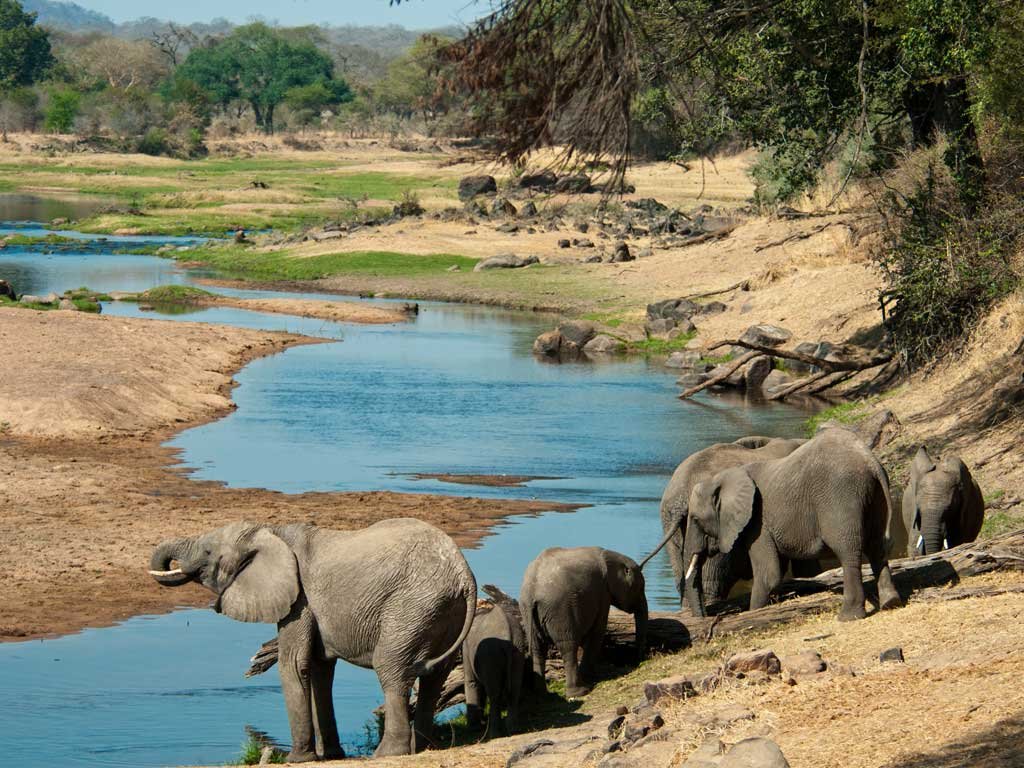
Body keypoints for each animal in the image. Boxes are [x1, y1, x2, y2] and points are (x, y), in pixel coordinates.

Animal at [148, 518, 477, 761]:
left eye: (207, 553)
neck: (271, 532)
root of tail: (464, 575)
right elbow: (320, 669)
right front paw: (330, 755)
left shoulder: (299, 599)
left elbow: (294, 665)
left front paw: (297, 760)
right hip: (442, 612)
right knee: (434, 677)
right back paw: (423, 747)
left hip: (411, 607)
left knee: (391, 670)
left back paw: (387, 754)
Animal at [463, 584, 528, 740]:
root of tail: (508, 634)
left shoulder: (466, 647)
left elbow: (472, 682)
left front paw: (473, 728)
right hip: (518, 649)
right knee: (515, 688)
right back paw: (513, 730)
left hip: (491, 655)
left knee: (494, 694)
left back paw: (494, 735)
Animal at [518, 524, 680, 698]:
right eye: (639, 588)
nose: (640, 660)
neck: (611, 555)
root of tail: (532, 591)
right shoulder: (602, 591)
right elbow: (597, 630)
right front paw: (589, 677)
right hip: (559, 610)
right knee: (568, 646)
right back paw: (580, 691)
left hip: (527, 610)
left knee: (537, 648)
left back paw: (542, 695)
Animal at [687, 428, 904, 621]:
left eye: (695, 519)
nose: (709, 617)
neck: (722, 477)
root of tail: (870, 461)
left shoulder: (757, 523)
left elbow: (769, 574)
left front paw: (753, 612)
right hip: (875, 497)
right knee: (877, 547)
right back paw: (890, 603)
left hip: (841, 496)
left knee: (849, 551)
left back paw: (848, 617)